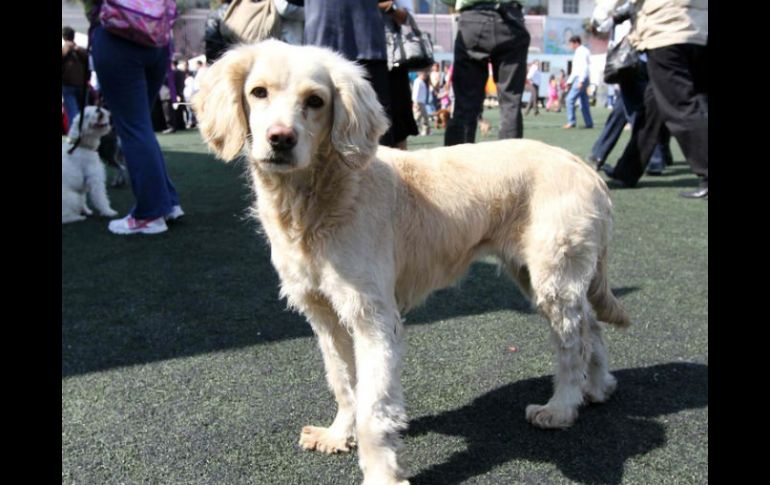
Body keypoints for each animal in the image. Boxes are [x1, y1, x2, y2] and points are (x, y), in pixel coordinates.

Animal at [190, 40, 624, 484]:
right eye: (258, 92)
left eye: (315, 101)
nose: (280, 139)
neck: (319, 198)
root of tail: (586, 169)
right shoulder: (324, 313)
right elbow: (344, 384)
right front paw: (337, 434)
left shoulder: (374, 316)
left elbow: (373, 408)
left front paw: (381, 474)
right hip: (540, 276)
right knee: (591, 326)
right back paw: (598, 387)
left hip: (553, 275)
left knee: (573, 343)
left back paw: (561, 407)